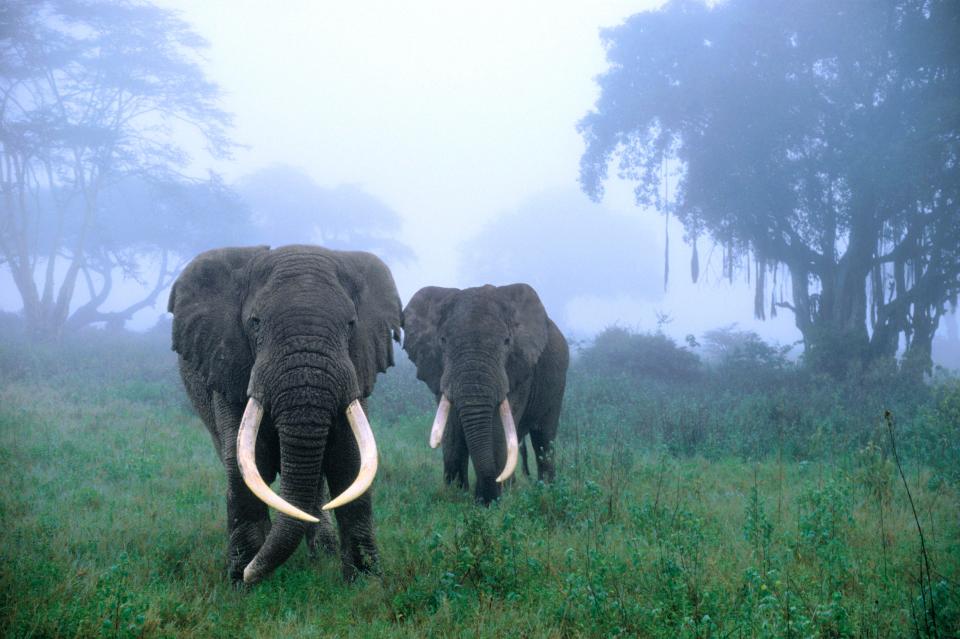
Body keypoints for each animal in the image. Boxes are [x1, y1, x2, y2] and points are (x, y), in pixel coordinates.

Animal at [169, 244, 402, 584]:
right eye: (255, 323)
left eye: (350, 324)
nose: (249, 574)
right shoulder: (230, 367)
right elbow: (245, 461)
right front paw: (242, 581)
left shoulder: (357, 370)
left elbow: (350, 461)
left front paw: (366, 582)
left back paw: (322, 553)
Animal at [402, 284, 568, 504]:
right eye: (443, 341)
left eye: (507, 341)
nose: (486, 496)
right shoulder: (439, 371)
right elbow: (452, 429)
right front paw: (455, 497)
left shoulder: (520, 368)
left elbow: (497, 428)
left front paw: (489, 503)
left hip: (557, 385)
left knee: (543, 438)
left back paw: (546, 491)